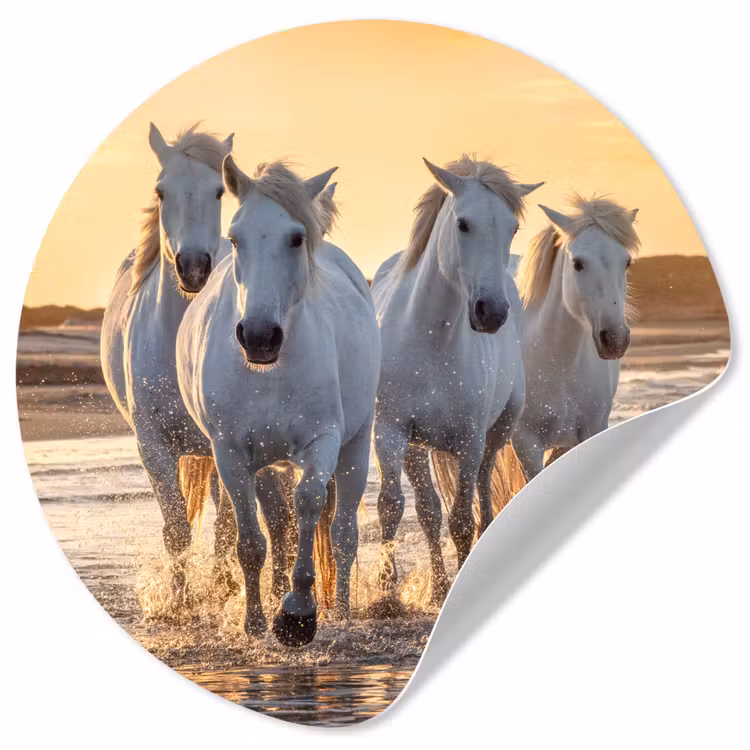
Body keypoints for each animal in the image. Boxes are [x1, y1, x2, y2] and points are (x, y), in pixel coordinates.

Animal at [176, 157, 380, 646]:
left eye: (296, 238)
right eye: (235, 238)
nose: (258, 336)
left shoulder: (323, 441)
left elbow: (308, 503)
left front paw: (297, 613)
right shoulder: (230, 453)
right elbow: (252, 541)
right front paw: (254, 623)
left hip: (356, 445)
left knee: (343, 533)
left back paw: (341, 611)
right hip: (268, 463)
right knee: (278, 527)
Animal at [371, 155, 542, 603]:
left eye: (512, 227)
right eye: (463, 224)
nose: (491, 313)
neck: (431, 337)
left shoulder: (469, 440)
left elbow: (463, 518)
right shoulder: (390, 432)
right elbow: (393, 506)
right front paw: (387, 594)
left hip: (496, 434)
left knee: (482, 494)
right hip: (417, 447)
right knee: (428, 510)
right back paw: (436, 586)